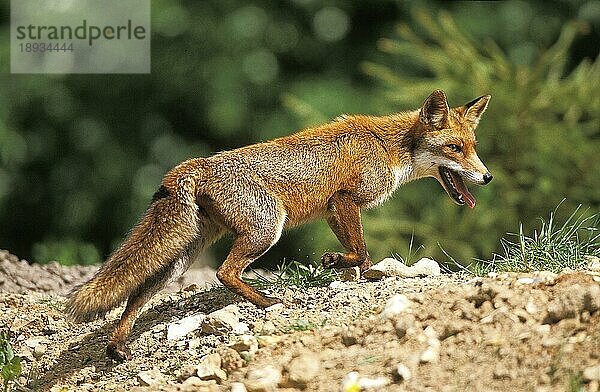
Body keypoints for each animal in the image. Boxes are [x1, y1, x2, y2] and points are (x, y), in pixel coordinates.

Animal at [67, 90, 492, 360]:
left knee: (137, 294)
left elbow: (361, 257)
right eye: (455, 149)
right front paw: (336, 262)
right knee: (224, 273)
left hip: (182, 256)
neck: (388, 147)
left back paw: (117, 345)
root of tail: (194, 164)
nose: (487, 177)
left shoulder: (333, 210)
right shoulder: (346, 199)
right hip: (267, 230)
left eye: (473, 147)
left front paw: (353, 272)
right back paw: (266, 302)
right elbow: (360, 251)